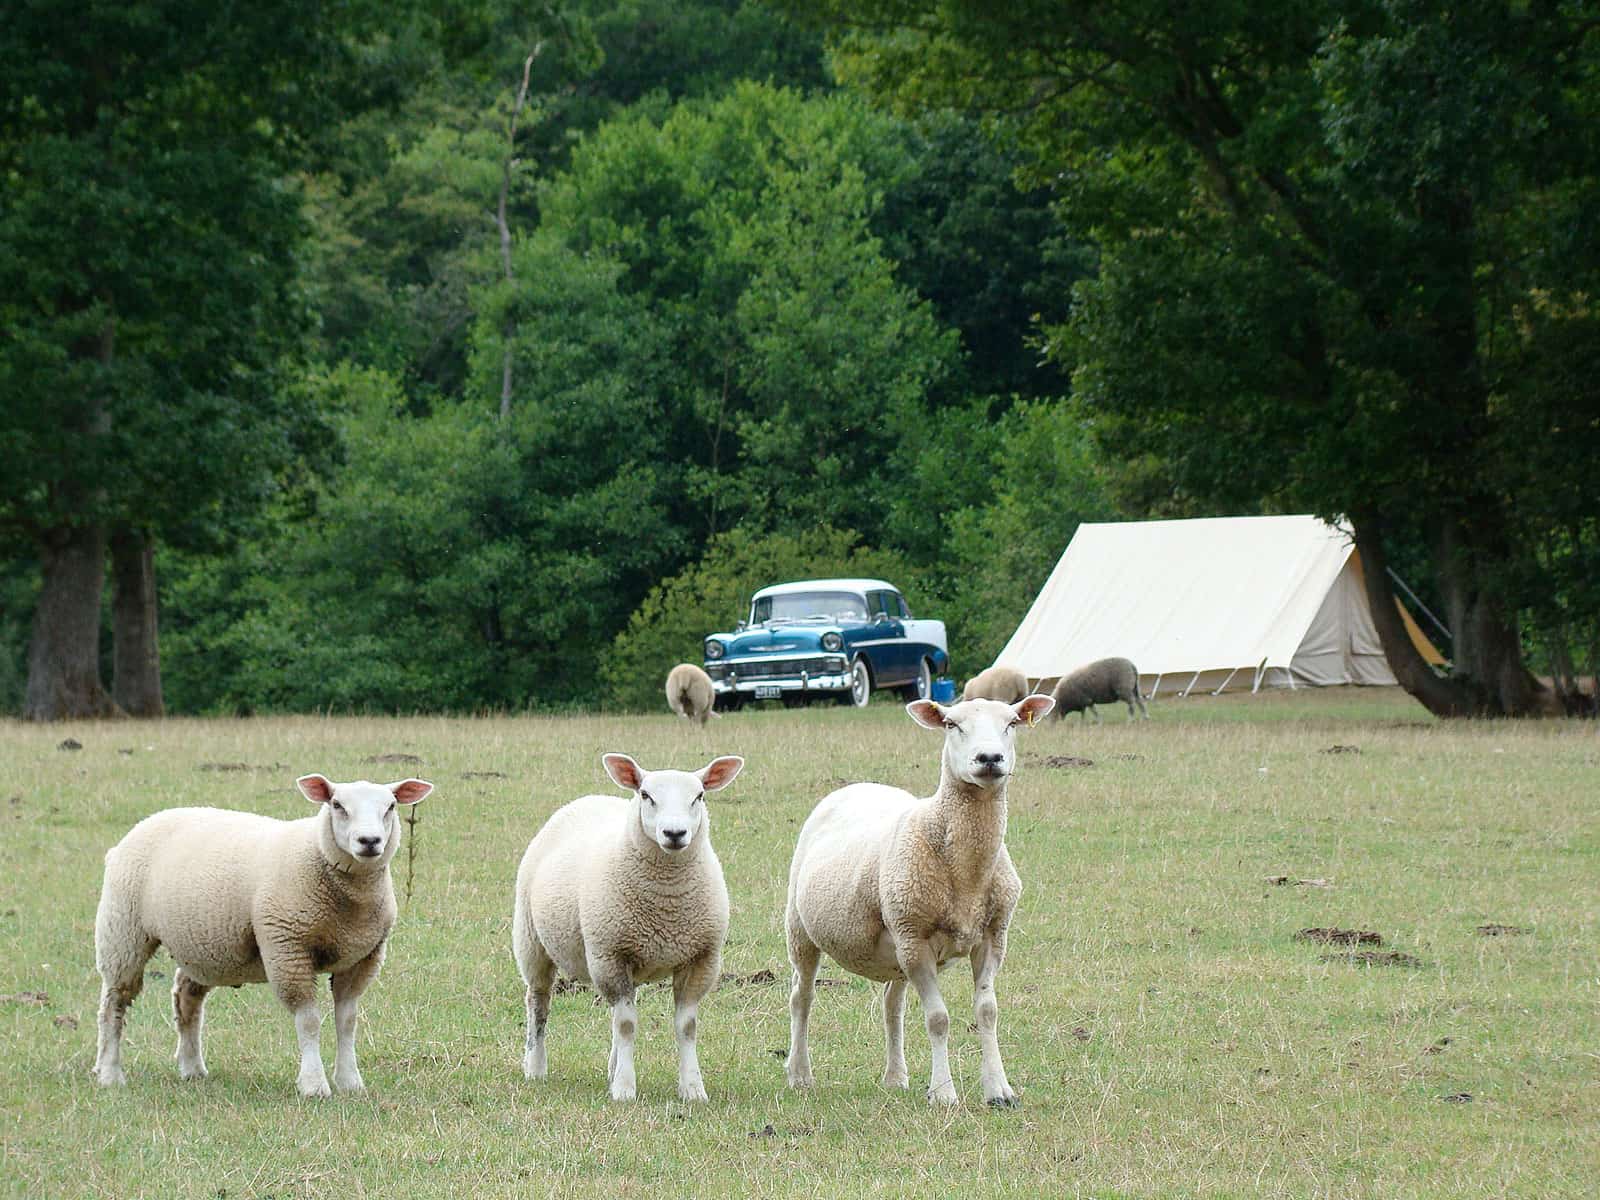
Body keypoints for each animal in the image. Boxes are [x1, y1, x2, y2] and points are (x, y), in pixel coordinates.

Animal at [92, 774, 434, 1097]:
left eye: (390, 806)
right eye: (337, 805)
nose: (369, 841)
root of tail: (145, 823)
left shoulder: (363, 957)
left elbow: (347, 1021)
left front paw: (350, 1082)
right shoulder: (287, 949)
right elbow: (309, 1021)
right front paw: (314, 1084)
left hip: (203, 944)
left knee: (186, 997)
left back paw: (192, 1068)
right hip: (122, 931)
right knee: (114, 1003)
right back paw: (110, 1073)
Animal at [513, 752, 743, 1102]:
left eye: (699, 796)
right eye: (646, 795)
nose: (674, 833)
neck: (667, 902)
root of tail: (590, 798)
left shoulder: (702, 958)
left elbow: (686, 1026)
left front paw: (692, 1088)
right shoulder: (609, 954)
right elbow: (626, 1025)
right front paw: (624, 1088)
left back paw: (610, 1067)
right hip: (532, 941)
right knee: (538, 1003)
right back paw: (536, 1066)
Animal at [784, 692, 1055, 1106]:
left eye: (1011, 723)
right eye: (951, 724)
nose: (989, 758)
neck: (967, 874)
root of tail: (859, 785)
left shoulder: (993, 937)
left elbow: (988, 1011)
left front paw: (998, 1089)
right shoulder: (916, 938)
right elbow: (938, 1019)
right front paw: (943, 1093)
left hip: (897, 948)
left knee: (891, 1005)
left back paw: (896, 1076)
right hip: (804, 930)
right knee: (802, 998)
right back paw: (799, 1074)